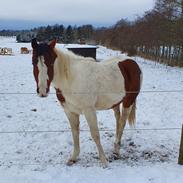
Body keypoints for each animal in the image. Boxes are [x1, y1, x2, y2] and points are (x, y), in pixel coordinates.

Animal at [31, 39, 142, 167]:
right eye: (33, 62)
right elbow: (75, 133)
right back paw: (115, 146)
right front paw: (73, 158)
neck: (71, 79)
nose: (42, 91)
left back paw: (116, 151)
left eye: (50, 63)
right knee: (118, 121)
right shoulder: (70, 111)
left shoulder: (89, 110)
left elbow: (95, 134)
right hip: (115, 103)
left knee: (122, 123)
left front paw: (103, 161)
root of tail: (132, 62)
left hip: (128, 102)